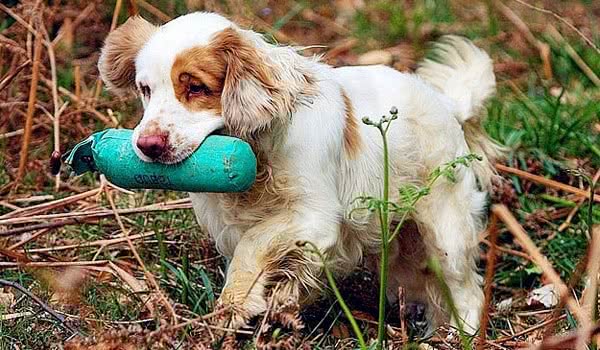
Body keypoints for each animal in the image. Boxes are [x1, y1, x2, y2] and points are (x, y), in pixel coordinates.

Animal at [99, 11, 502, 334]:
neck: (259, 151)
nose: (147, 145)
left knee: (467, 292)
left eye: (196, 87)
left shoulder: (313, 217)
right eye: (145, 89)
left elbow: (255, 243)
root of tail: (446, 102)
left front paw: (235, 303)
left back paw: (460, 336)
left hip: (446, 233)